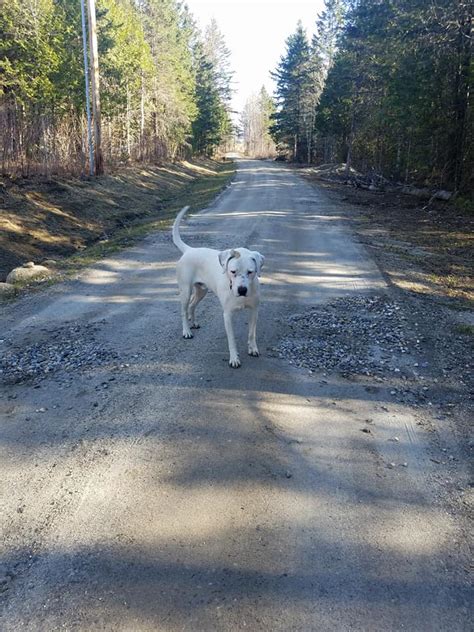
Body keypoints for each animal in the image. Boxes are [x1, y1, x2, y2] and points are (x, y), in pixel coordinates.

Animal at [172, 205, 264, 368]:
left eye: (250, 272)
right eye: (233, 271)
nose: (242, 290)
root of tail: (189, 250)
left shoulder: (254, 310)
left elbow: (252, 333)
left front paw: (253, 349)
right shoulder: (227, 315)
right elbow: (232, 340)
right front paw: (234, 359)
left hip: (201, 290)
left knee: (192, 305)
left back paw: (194, 322)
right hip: (185, 290)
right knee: (183, 310)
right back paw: (186, 331)